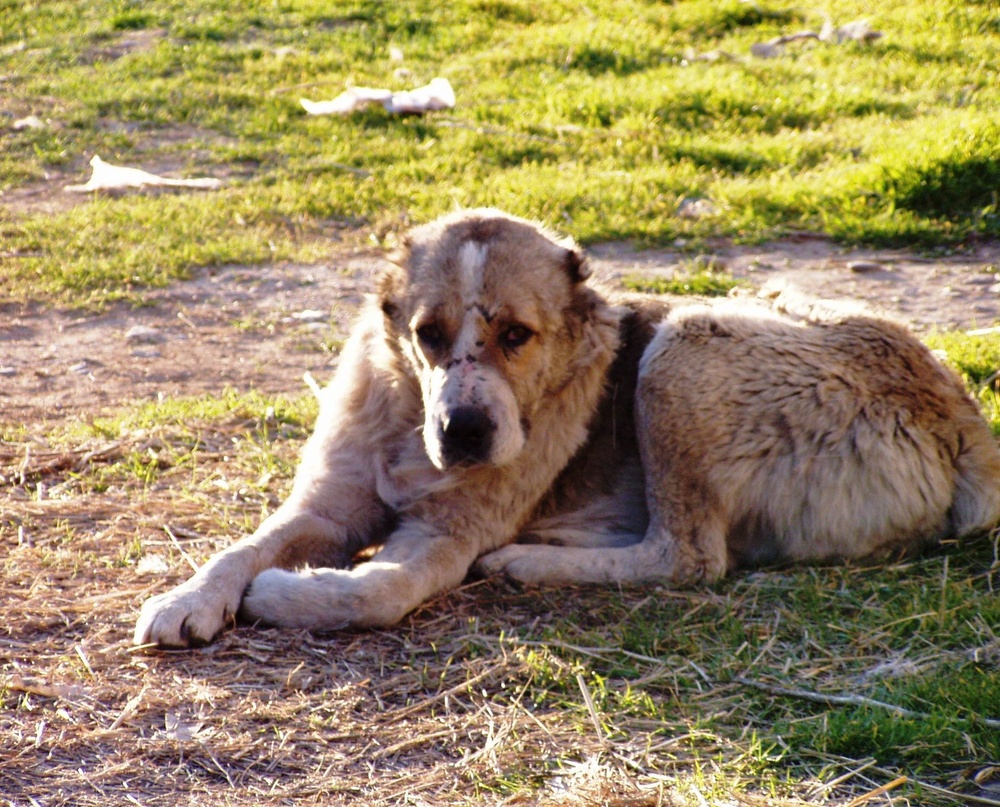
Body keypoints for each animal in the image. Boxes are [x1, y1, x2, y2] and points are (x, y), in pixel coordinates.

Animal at [135, 210, 1000, 652]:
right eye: (427, 334)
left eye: (517, 335)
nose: (466, 430)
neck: (409, 420)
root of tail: (960, 411)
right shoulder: (327, 503)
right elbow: (242, 546)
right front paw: (188, 596)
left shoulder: (447, 534)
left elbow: (376, 590)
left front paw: (288, 594)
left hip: (684, 344)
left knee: (688, 555)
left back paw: (525, 561)